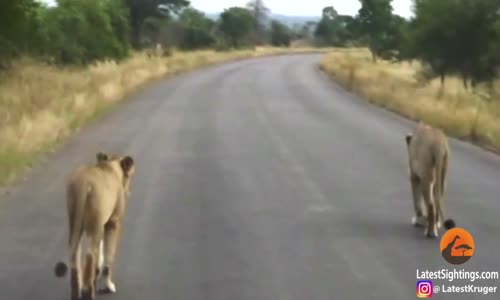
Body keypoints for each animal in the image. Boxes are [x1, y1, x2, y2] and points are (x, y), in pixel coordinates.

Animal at [53, 154, 135, 298]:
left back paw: (76, 292)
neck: (110, 167)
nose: (128, 191)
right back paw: (87, 292)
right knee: (90, 254)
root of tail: (83, 182)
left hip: (75, 222)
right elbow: (108, 254)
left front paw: (96, 276)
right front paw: (107, 286)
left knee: (75, 254)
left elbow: (100, 252)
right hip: (95, 225)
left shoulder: (102, 223)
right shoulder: (112, 223)